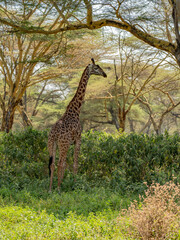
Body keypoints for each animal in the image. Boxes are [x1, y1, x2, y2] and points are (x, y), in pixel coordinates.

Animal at [47, 58, 107, 191]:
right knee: (60, 163)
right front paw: (74, 185)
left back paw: (50, 188)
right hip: (63, 144)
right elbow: (75, 164)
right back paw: (58, 188)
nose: (105, 74)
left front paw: (66, 183)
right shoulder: (78, 139)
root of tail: (55, 133)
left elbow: (68, 164)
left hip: (52, 143)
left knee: (52, 164)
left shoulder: (72, 141)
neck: (75, 110)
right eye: (96, 67)